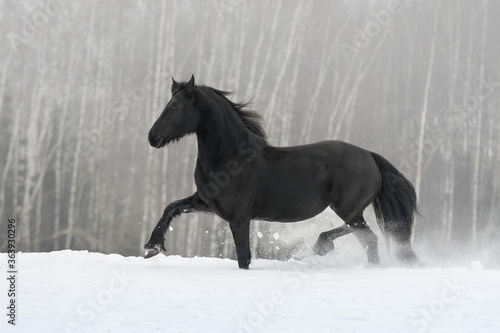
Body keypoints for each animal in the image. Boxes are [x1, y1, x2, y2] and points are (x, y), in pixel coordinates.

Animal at [145, 75, 418, 268]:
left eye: (176, 106)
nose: (152, 137)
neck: (231, 158)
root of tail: (370, 156)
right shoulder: (206, 202)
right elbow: (172, 207)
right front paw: (152, 246)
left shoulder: (239, 217)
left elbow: (244, 258)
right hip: (351, 211)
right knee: (366, 237)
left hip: (349, 209)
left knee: (366, 236)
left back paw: (326, 248)